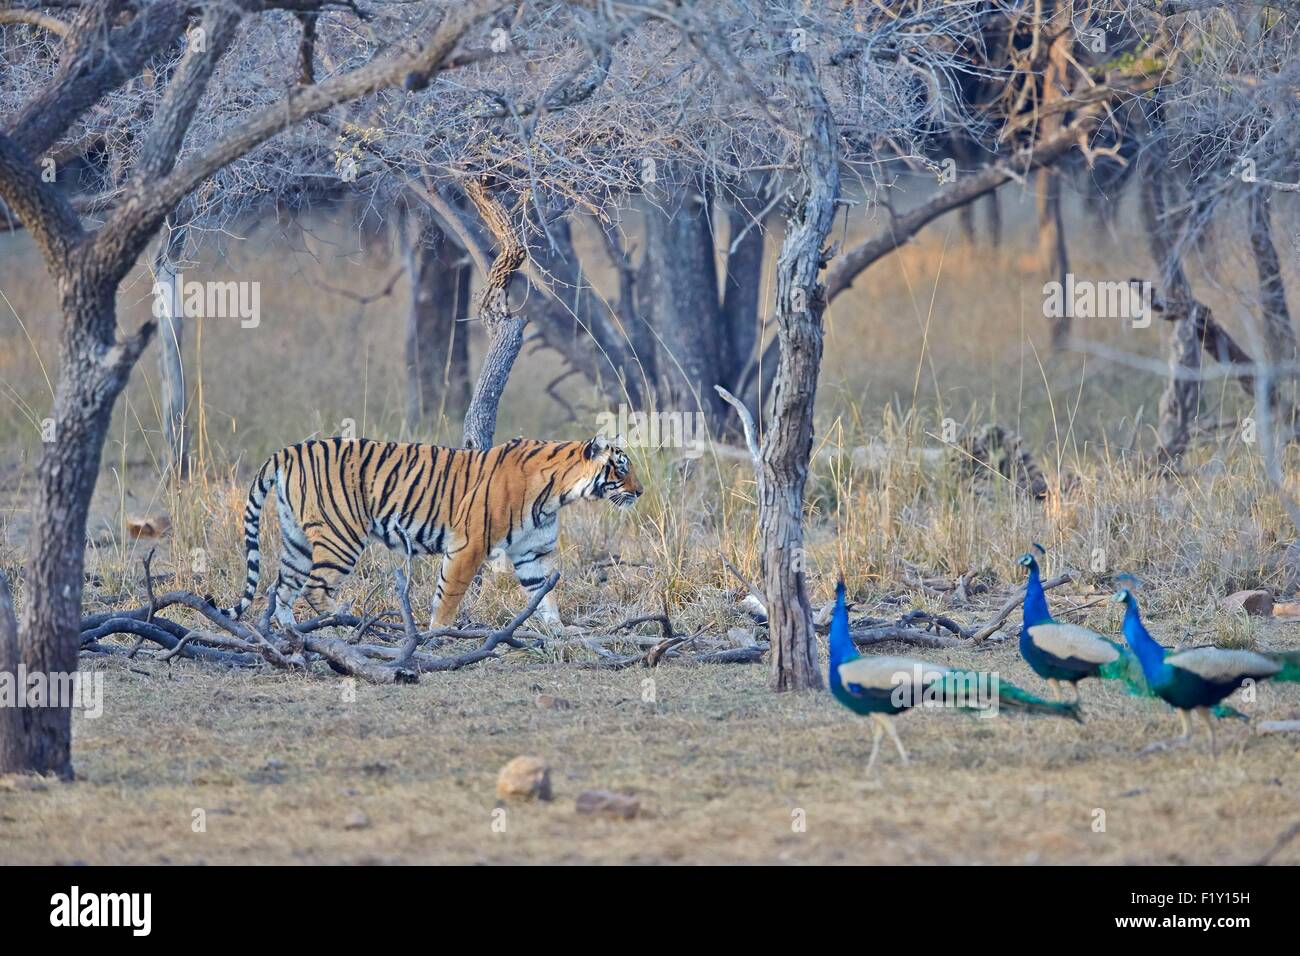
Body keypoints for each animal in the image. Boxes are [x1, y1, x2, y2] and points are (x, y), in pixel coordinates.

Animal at [226, 434, 642, 632]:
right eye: (621, 468)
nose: (639, 491)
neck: (558, 494)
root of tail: (289, 450)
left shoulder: (533, 553)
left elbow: (545, 596)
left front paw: (559, 630)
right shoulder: (469, 545)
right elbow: (450, 593)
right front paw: (438, 632)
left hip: (297, 538)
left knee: (281, 588)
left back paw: (292, 630)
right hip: (340, 535)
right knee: (314, 587)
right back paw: (347, 618)